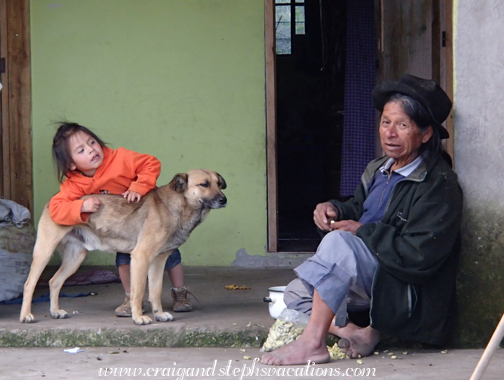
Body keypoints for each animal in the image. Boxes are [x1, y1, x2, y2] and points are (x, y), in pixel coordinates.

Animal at [20, 169, 226, 324]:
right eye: (204, 184)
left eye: (218, 183)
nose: (224, 200)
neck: (177, 206)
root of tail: (56, 199)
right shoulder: (141, 257)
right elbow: (138, 291)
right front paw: (138, 318)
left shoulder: (158, 261)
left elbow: (156, 291)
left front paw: (159, 314)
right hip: (44, 252)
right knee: (29, 284)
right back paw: (26, 315)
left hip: (75, 258)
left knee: (54, 281)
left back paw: (55, 311)